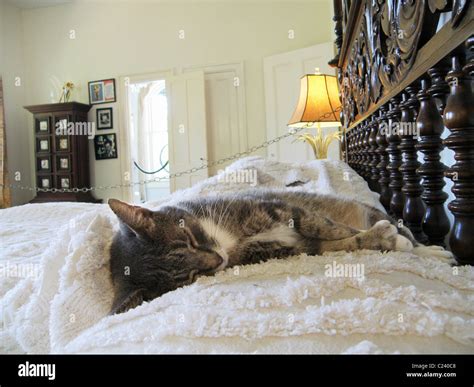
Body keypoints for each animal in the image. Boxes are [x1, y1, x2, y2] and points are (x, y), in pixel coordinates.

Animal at [108, 192, 452, 316]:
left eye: (190, 239)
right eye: (190, 277)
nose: (218, 261)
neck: (231, 242)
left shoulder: (285, 210)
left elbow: (329, 227)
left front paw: (383, 237)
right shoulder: (289, 248)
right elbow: (336, 244)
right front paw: (377, 239)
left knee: (410, 235)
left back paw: (433, 251)